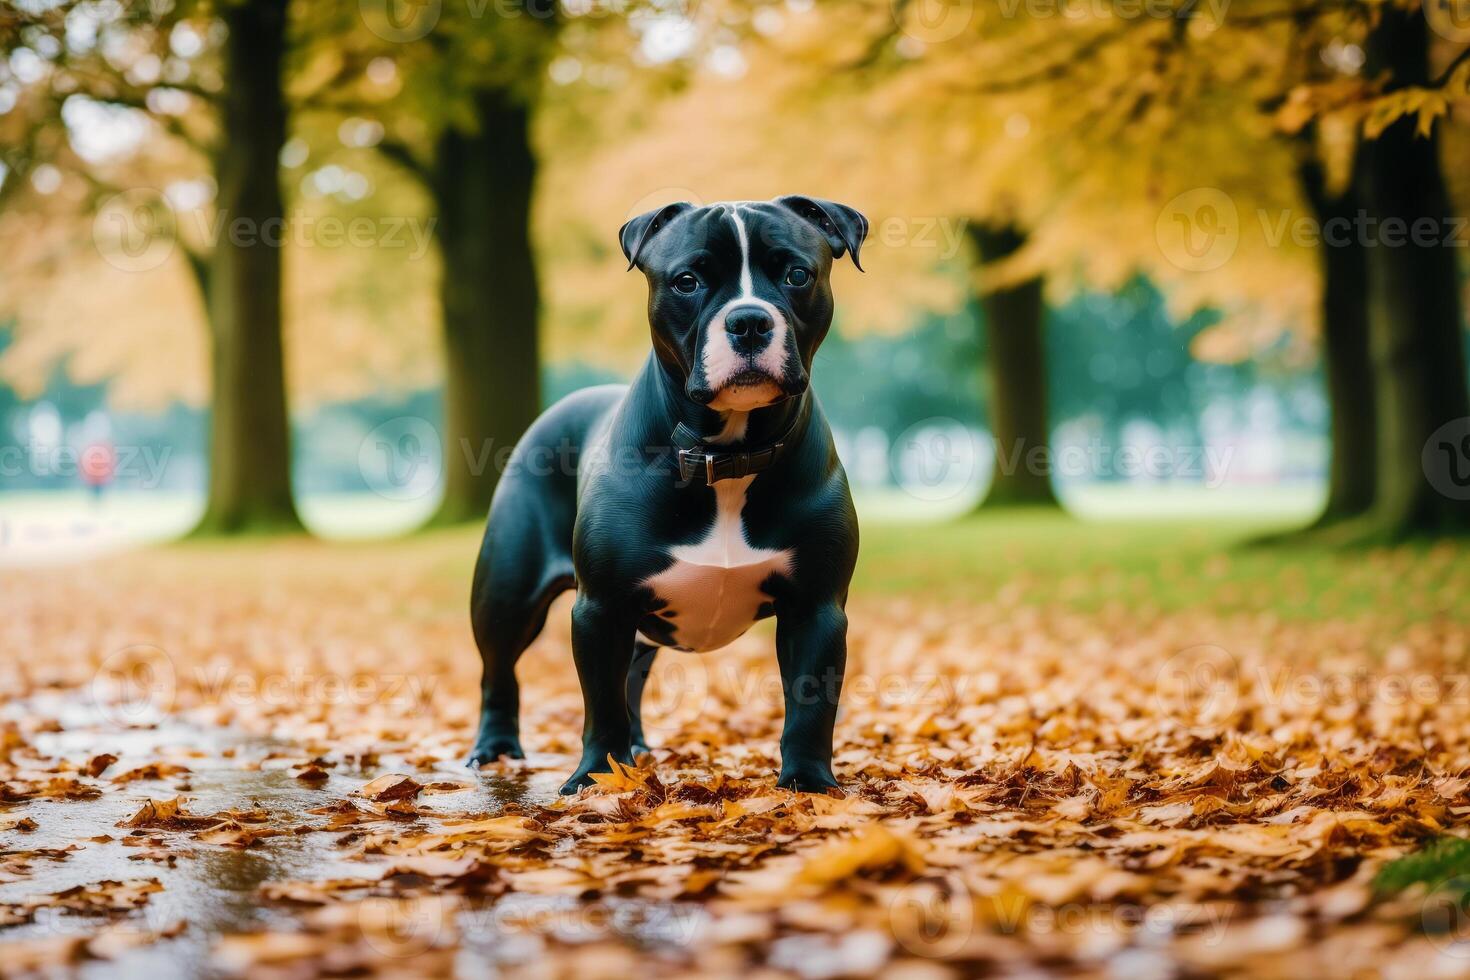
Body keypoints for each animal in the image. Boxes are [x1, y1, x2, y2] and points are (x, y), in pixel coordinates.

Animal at [467, 195, 858, 793]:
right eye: (687, 281)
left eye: (796, 274)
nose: (748, 320)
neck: (727, 456)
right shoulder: (601, 608)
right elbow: (599, 702)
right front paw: (594, 777)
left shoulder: (816, 608)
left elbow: (810, 704)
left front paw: (809, 783)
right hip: (506, 594)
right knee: (499, 670)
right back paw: (495, 748)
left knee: (629, 675)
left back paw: (636, 750)